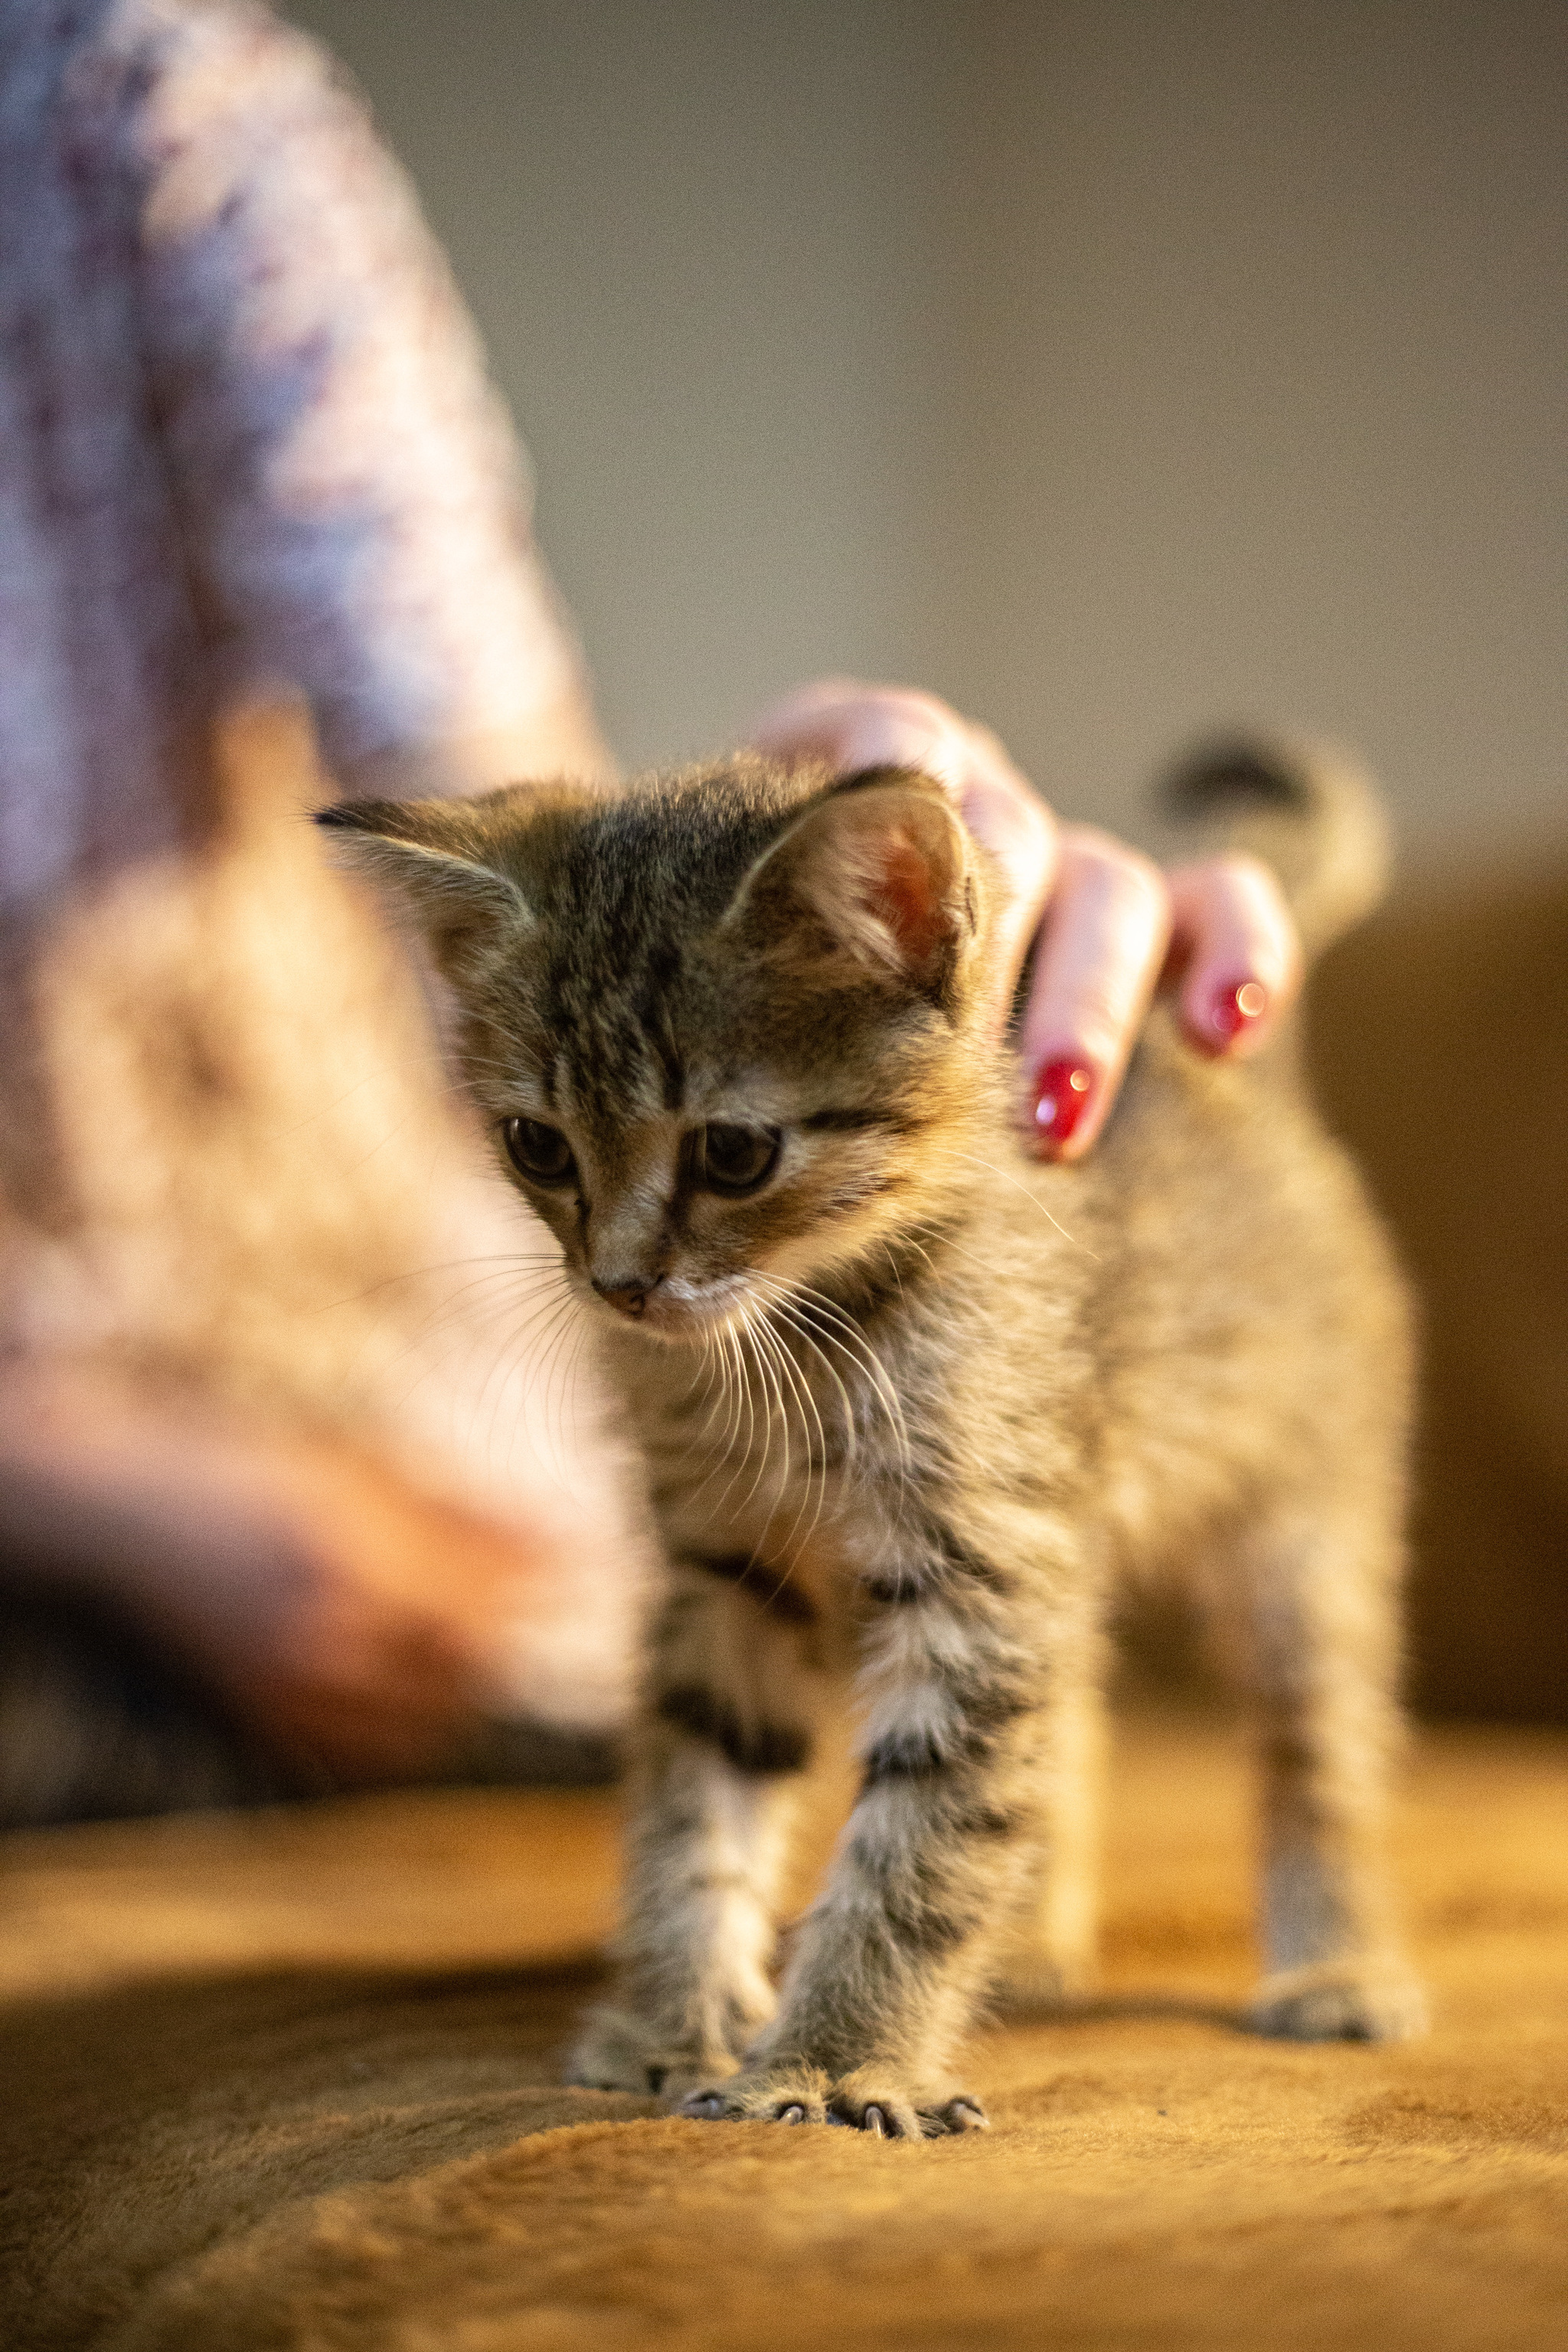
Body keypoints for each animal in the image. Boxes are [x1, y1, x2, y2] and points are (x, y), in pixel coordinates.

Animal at [324, 743, 1429, 2145]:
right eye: (537, 1145)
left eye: (734, 1152)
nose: (618, 1285)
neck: (792, 1344)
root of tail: (1224, 1064)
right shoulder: (731, 1567)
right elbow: (699, 1791)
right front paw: (672, 2021)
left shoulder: (980, 1568)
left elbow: (922, 1839)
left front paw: (836, 2059)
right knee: (1079, 1710)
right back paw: (1030, 1946)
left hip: (1302, 1523)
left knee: (1316, 1741)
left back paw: (1333, 1963)